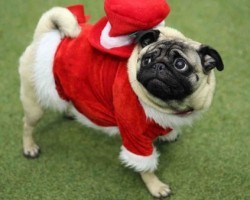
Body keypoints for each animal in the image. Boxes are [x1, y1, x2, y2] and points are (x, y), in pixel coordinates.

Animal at [18, 6, 224, 198]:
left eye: (180, 65)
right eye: (147, 59)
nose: (158, 66)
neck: (167, 105)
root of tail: (46, 35)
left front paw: (168, 134)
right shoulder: (135, 136)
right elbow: (145, 166)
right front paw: (155, 186)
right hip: (34, 101)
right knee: (27, 125)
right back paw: (29, 147)